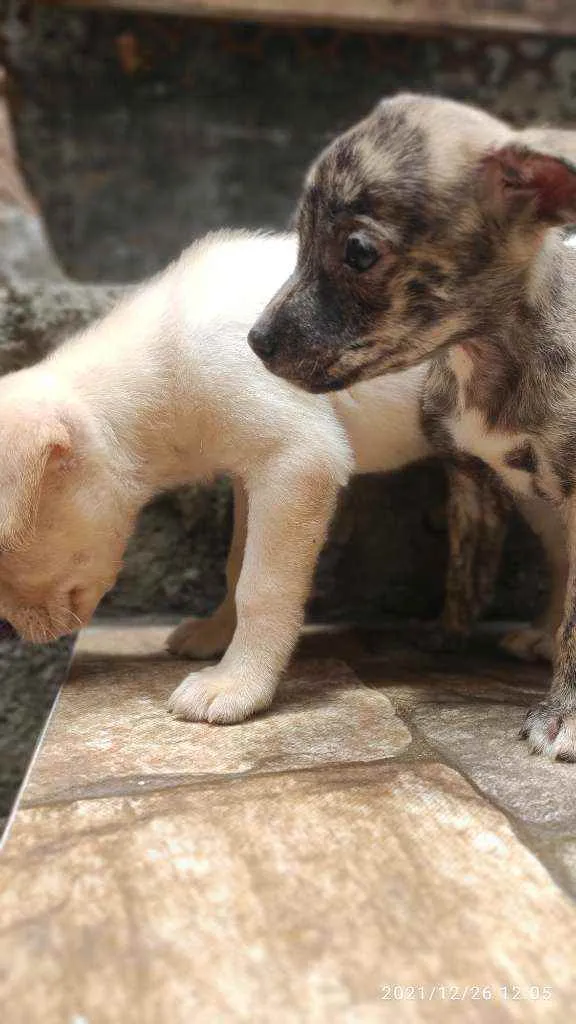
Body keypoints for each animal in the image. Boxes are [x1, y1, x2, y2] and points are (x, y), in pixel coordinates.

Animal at [0, 234, 426, 720]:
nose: (4, 633)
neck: (167, 360)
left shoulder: (298, 460)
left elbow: (261, 586)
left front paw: (236, 685)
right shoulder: (251, 473)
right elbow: (238, 563)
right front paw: (215, 635)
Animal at [251, 94, 576, 761]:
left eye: (358, 252)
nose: (255, 342)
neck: (482, 358)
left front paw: (564, 715)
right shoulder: (471, 479)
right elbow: (464, 568)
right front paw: (446, 635)